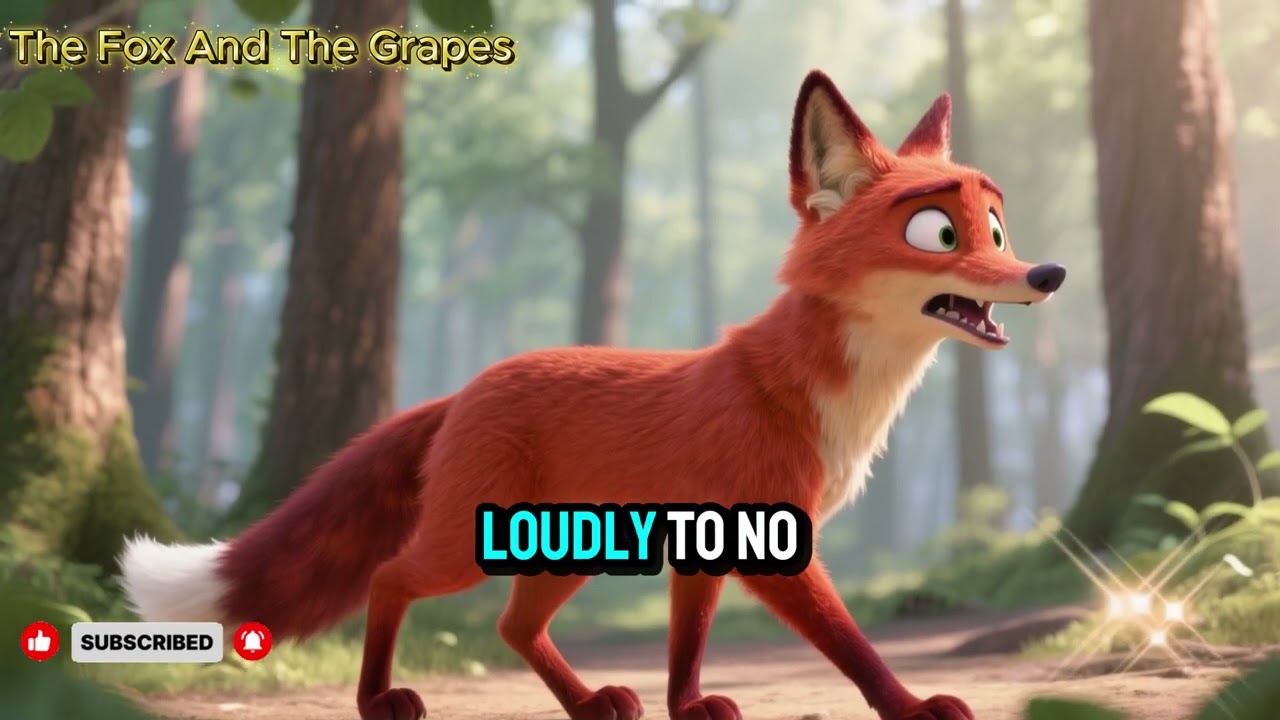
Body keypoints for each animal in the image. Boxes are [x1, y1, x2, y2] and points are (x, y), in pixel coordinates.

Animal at [120, 70, 1065, 720]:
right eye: (938, 233)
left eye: (998, 229)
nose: (1048, 274)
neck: (821, 395)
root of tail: (465, 387)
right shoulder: (774, 541)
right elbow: (853, 648)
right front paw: (911, 707)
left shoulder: (704, 546)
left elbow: (687, 647)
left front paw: (688, 709)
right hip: (469, 547)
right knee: (392, 578)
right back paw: (376, 702)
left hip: (565, 552)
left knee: (512, 627)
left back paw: (587, 705)